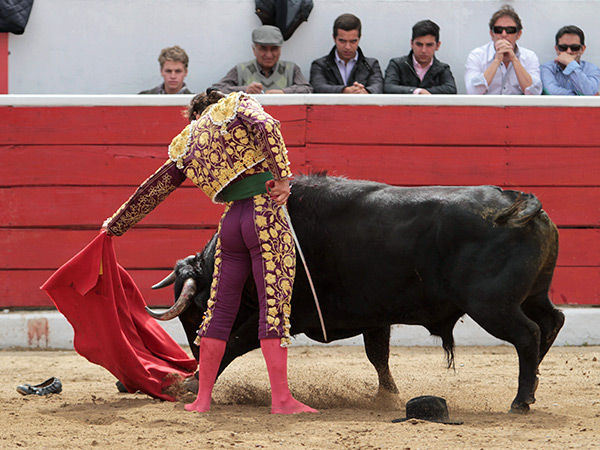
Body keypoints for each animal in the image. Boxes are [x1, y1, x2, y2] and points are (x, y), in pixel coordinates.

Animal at [148, 174, 564, 414]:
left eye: (193, 312)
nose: (195, 350)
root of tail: (519, 203)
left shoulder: (286, 313)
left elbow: (234, 342)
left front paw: (189, 384)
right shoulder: (376, 317)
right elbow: (378, 356)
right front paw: (387, 397)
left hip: (491, 306)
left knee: (528, 334)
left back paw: (521, 399)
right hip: (530, 296)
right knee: (551, 322)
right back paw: (533, 383)